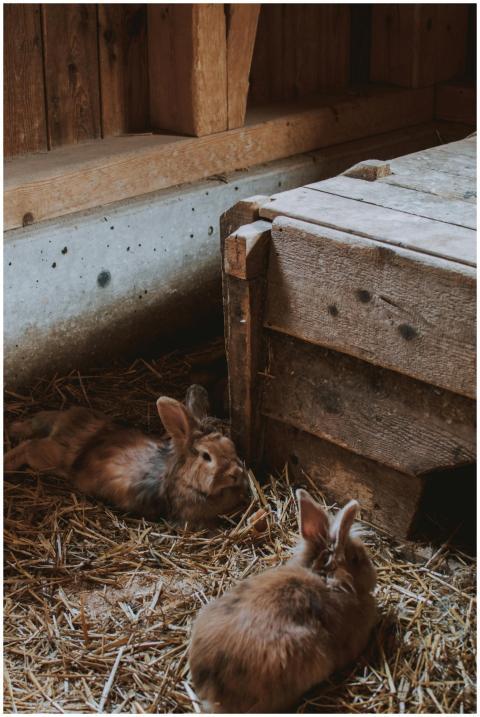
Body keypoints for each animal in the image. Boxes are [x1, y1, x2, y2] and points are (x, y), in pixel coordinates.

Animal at [4, 384, 249, 527]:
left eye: (230, 445)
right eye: (207, 456)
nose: (236, 473)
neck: (185, 481)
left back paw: (13, 428)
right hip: (50, 458)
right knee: (28, 446)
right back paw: (7, 462)